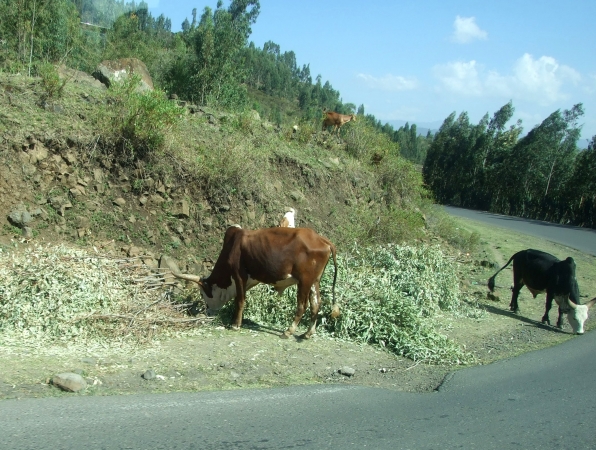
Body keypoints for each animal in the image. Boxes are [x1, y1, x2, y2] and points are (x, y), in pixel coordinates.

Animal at [170, 227, 338, 340]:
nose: (208, 312)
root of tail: (321, 239)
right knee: (316, 305)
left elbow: (240, 300)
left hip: (304, 281)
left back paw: (288, 331)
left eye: (202, 293)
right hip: (314, 281)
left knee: (302, 306)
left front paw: (235, 325)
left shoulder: (239, 275)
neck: (233, 244)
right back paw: (307, 333)